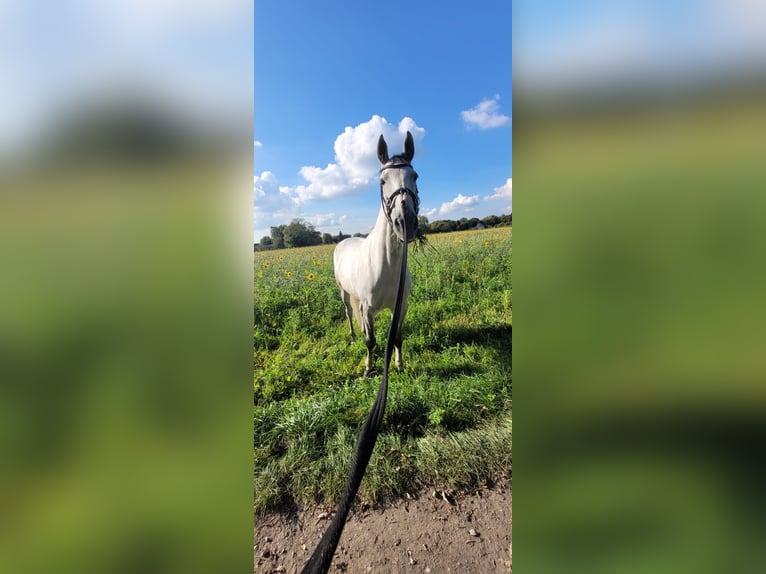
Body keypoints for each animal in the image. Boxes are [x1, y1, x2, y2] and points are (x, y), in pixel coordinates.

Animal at [333, 131, 420, 376]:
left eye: (415, 176)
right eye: (382, 181)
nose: (405, 222)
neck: (387, 266)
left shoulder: (400, 307)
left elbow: (396, 337)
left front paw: (399, 365)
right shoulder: (368, 308)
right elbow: (371, 341)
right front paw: (368, 369)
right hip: (344, 293)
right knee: (349, 314)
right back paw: (353, 337)